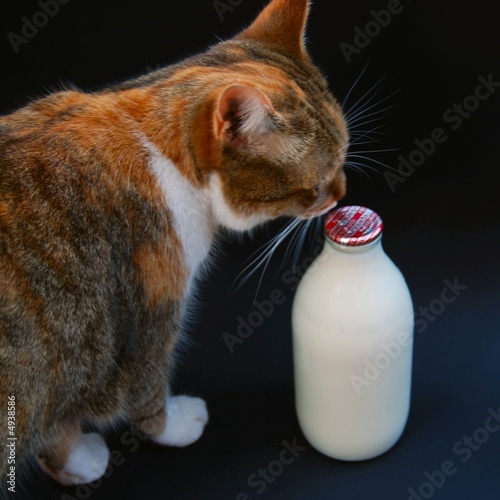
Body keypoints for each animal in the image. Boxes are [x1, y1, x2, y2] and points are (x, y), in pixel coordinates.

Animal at [0, 0, 346, 486]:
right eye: (317, 185)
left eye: (344, 158)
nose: (343, 192)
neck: (161, 150)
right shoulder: (147, 311)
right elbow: (145, 393)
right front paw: (169, 428)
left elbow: (53, 418)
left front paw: (68, 460)